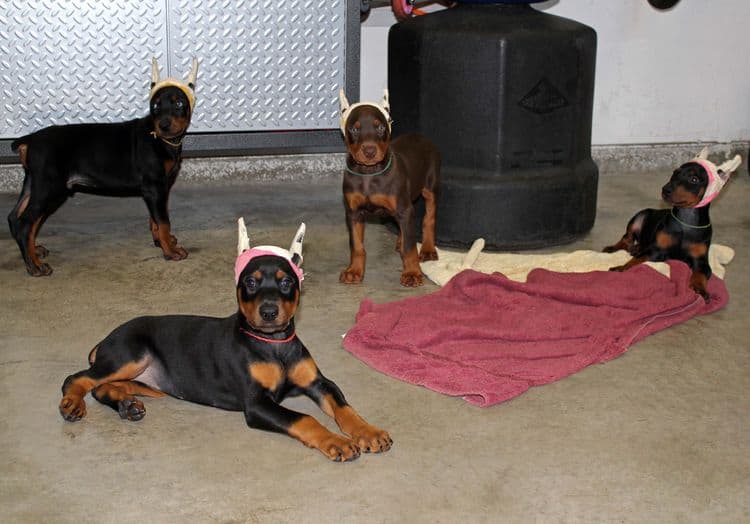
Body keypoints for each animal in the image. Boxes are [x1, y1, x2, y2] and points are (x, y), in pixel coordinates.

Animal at [6, 57, 200, 276]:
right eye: (156, 106)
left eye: (179, 103)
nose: (163, 125)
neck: (161, 140)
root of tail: (29, 139)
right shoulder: (154, 186)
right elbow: (163, 220)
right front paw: (170, 251)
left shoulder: (159, 188)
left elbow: (156, 218)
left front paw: (161, 241)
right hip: (50, 186)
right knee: (25, 222)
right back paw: (34, 265)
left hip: (35, 182)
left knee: (15, 217)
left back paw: (34, 252)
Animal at [58, 221, 394, 462]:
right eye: (251, 282)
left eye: (286, 281)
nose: (269, 312)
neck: (273, 345)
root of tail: (106, 338)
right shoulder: (256, 403)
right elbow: (305, 418)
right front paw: (337, 441)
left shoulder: (318, 382)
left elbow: (343, 406)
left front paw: (368, 432)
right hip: (130, 353)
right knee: (77, 379)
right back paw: (72, 404)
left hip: (145, 378)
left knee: (102, 387)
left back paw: (127, 406)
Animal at [336, 90, 438, 286]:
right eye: (355, 129)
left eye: (380, 128)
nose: (369, 151)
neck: (369, 174)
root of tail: (420, 136)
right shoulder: (353, 213)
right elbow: (356, 245)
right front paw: (354, 271)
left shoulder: (404, 208)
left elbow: (410, 247)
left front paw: (412, 273)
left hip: (430, 187)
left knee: (428, 218)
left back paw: (428, 249)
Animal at [604, 148, 744, 302]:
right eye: (675, 173)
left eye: (694, 179)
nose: (665, 189)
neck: (686, 219)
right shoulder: (656, 250)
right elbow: (636, 260)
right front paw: (622, 267)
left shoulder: (701, 261)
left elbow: (701, 273)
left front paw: (700, 288)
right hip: (640, 216)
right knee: (627, 238)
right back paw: (613, 248)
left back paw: (635, 248)